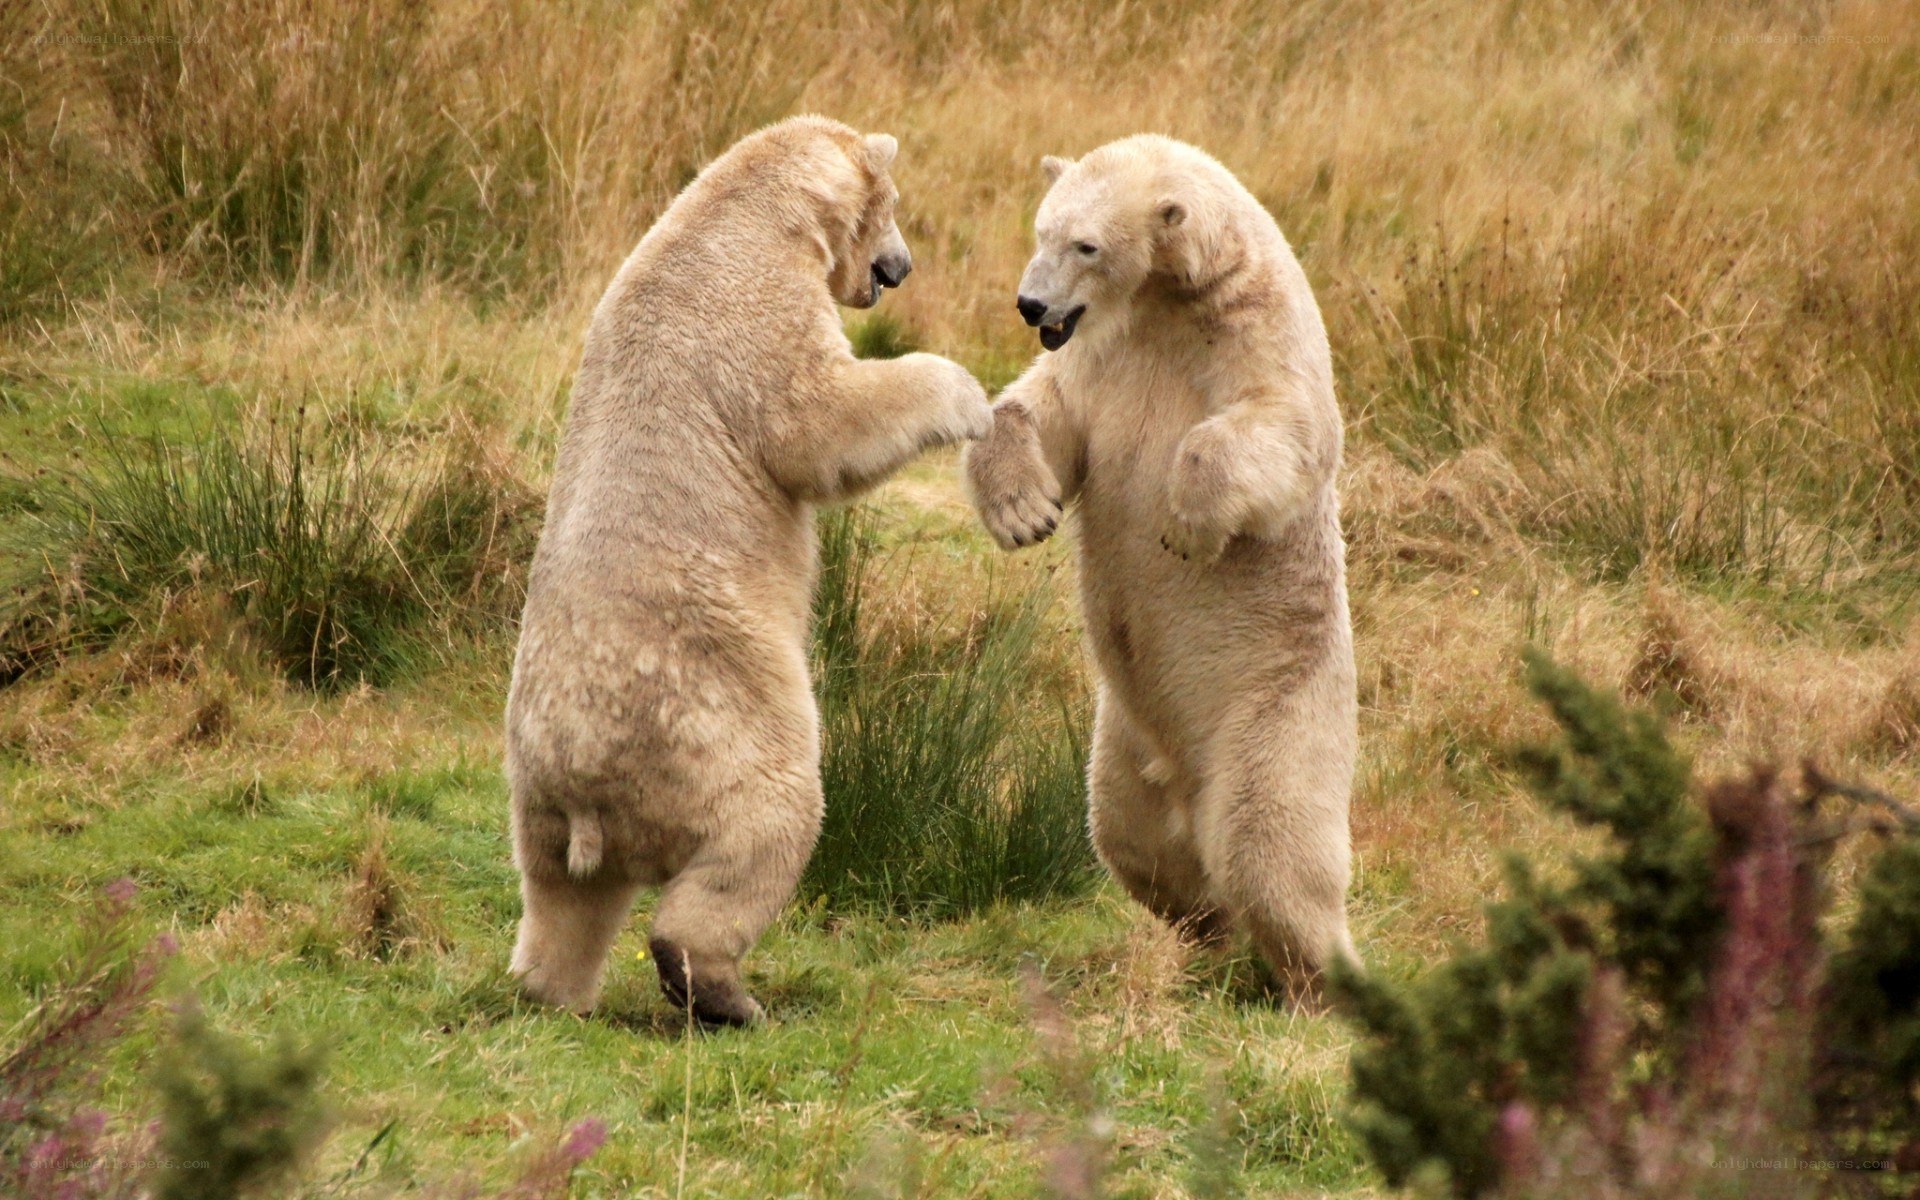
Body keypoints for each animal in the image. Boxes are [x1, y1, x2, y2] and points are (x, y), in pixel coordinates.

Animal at [505, 116, 992, 1026]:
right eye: (893, 207)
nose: (899, 269)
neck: (741, 205)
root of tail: (586, 772)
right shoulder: (751, 303)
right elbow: (817, 416)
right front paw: (965, 393)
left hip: (535, 794)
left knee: (561, 895)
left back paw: (549, 988)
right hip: (710, 711)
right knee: (769, 817)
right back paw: (722, 990)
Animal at [964, 135, 1358, 1000]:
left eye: (1086, 246)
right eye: (1041, 229)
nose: (1030, 305)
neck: (1171, 298)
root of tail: (1188, 774)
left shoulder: (1257, 328)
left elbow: (1286, 427)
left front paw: (1186, 524)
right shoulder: (1101, 355)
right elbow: (1040, 412)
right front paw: (1023, 511)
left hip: (1275, 711)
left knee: (1270, 847)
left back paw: (1317, 982)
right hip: (1122, 742)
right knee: (1133, 841)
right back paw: (1203, 940)